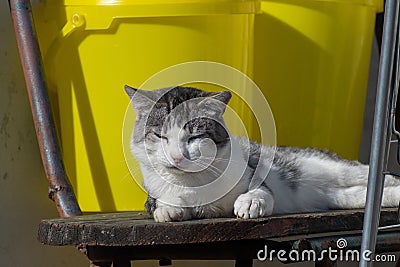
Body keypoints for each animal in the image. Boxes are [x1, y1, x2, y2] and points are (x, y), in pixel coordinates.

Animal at [124, 86, 400, 224]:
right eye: (160, 136)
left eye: (193, 137)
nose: (177, 157)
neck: (195, 181)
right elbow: (160, 201)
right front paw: (168, 209)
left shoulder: (254, 171)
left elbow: (261, 190)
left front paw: (249, 203)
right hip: (342, 196)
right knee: (369, 193)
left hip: (342, 170)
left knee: (376, 177)